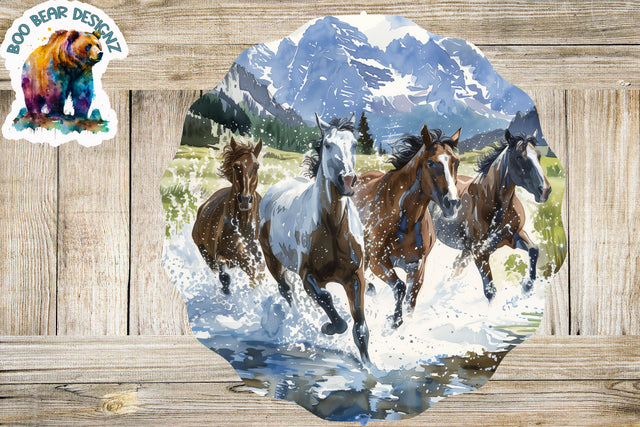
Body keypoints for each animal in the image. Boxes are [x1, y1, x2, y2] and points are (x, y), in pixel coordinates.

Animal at [192, 136, 263, 295]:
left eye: (256, 166)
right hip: (205, 252)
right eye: (236, 166)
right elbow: (225, 276)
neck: (243, 226)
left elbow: (256, 275)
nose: (245, 200)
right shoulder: (221, 256)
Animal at [259, 113, 370, 364]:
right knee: (287, 291)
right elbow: (326, 298)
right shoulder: (308, 276)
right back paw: (298, 320)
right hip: (273, 263)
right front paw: (328, 328)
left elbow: (360, 328)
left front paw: (370, 366)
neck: (333, 228)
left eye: (354, 144)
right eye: (328, 144)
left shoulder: (355, 277)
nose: (347, 180)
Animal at [353, 125, 461, 328]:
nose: (453, 203)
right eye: (431, 163)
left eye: (456, 162)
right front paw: (394, 321)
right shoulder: (378, 261)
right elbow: (400, 287)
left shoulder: (417, 266)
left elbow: (411, 300)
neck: (405, 221)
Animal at [429, 129, 551, 300]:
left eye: (539, 155)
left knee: (457, 265)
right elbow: (490, 291)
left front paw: (527, 286)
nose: (545, 190)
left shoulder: (514, 236)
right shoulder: (480, 254)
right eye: (519, 157)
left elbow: (534, 250)